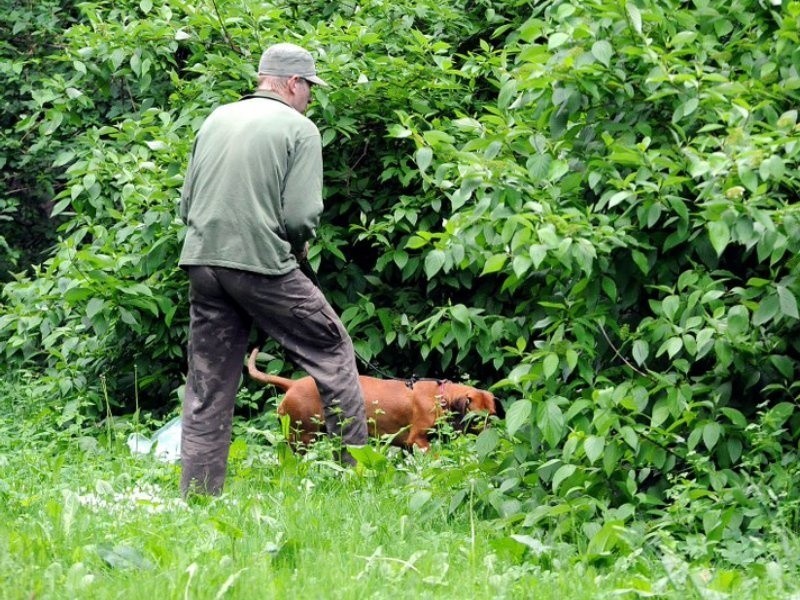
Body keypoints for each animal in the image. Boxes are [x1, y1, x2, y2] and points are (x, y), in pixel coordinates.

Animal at [245, 346, 494, 450]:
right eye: (476, 419)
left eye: (492, 417)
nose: (491, 436)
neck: (440, 395)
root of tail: (293, 384)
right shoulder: (418, 440)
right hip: (303, 437)